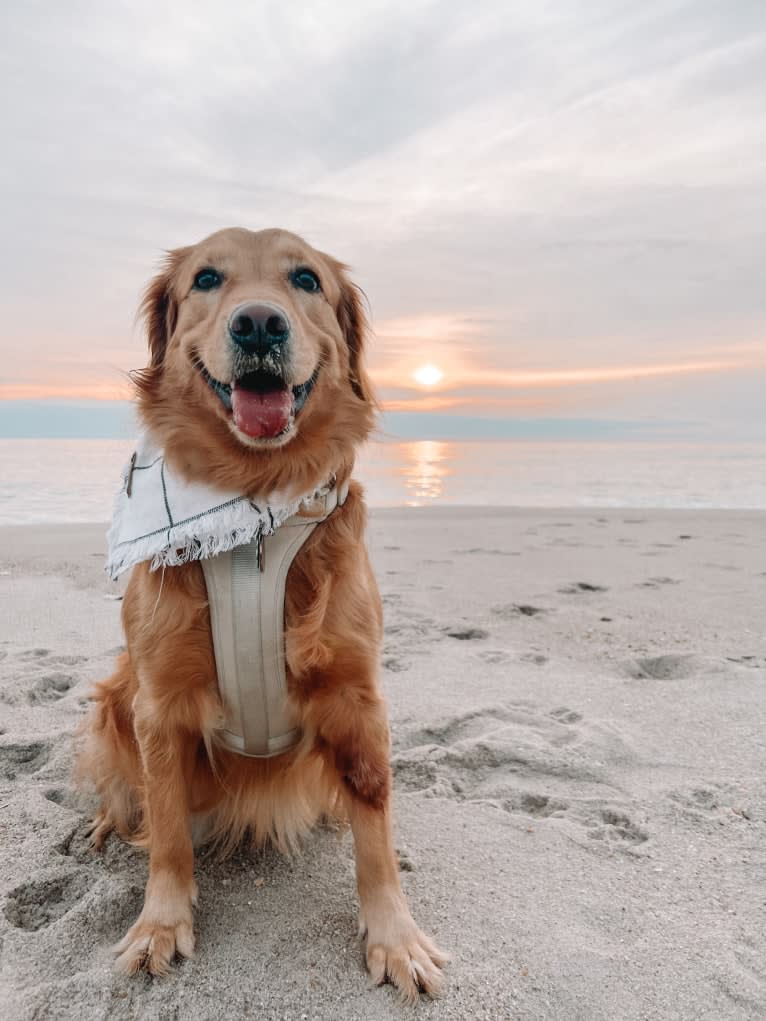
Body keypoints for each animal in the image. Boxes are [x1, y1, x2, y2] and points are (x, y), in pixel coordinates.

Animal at [79, 229, 443, 996]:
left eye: (305, 279)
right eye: (206, 278)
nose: (257, 325)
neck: (252, 501)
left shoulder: (356, 695)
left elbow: (375, 830)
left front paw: (395, 936)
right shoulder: (159, 700)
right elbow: (167, 829)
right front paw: (160, 924)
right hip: (116, 693)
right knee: (128, 787)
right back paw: (103, 821)